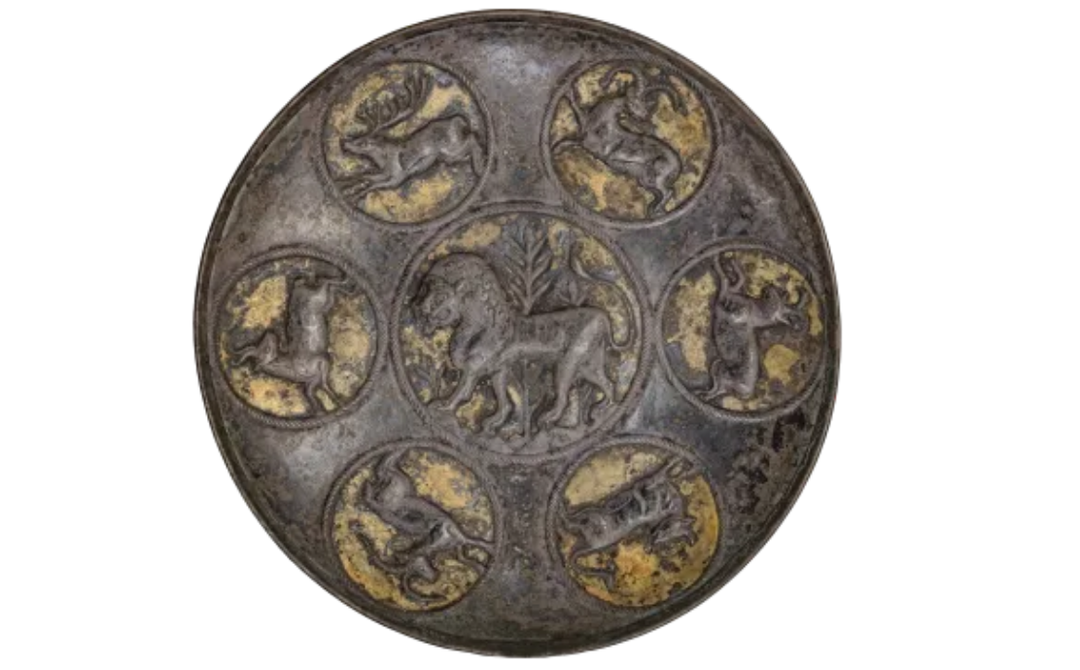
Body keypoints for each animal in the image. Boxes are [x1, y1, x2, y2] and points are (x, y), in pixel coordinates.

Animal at [412, 253, 634, 434]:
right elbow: (504, 400)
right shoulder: (498, 370)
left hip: (568, 363)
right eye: (426, 291)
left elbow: (463, 391)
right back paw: (601, 410)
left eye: (441, 295)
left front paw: (444, 406)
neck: (482, 325)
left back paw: (548, 419)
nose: (420, 308)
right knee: (608, 383)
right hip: (589, 364)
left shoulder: (474, 368)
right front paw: (495, 423)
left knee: (564, 397)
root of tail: (603, 316)